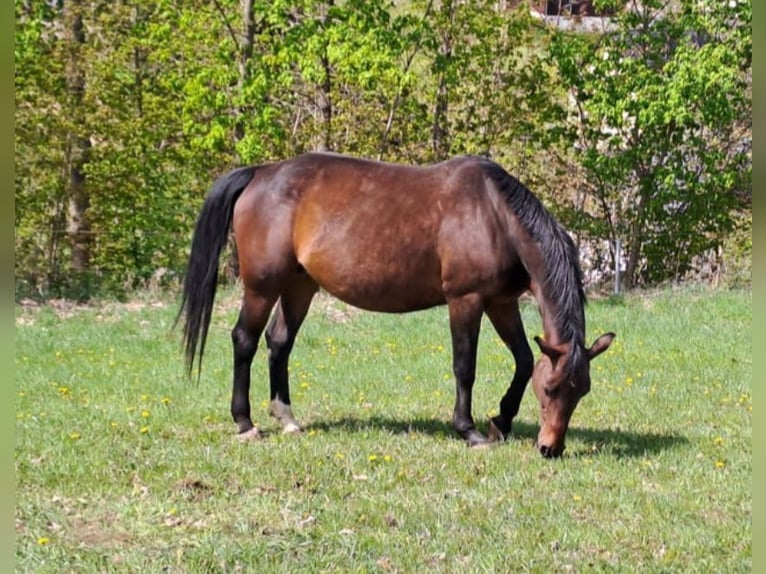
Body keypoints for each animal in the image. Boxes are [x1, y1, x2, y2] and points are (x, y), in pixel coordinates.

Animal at [177, 152, 616, 460]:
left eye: (582, 392)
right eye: (552, 388)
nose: (550, 448)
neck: (495, 215)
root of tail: (260, 173)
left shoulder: (501, 302)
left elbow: (523, 361)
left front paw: (501, 421)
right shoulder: (466, 300)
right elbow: (465, 367)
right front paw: (469, 430)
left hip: (300, 286)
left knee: (279, 342)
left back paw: (286, 418)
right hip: (262, 287)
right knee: (245, 340)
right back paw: (244, 421)